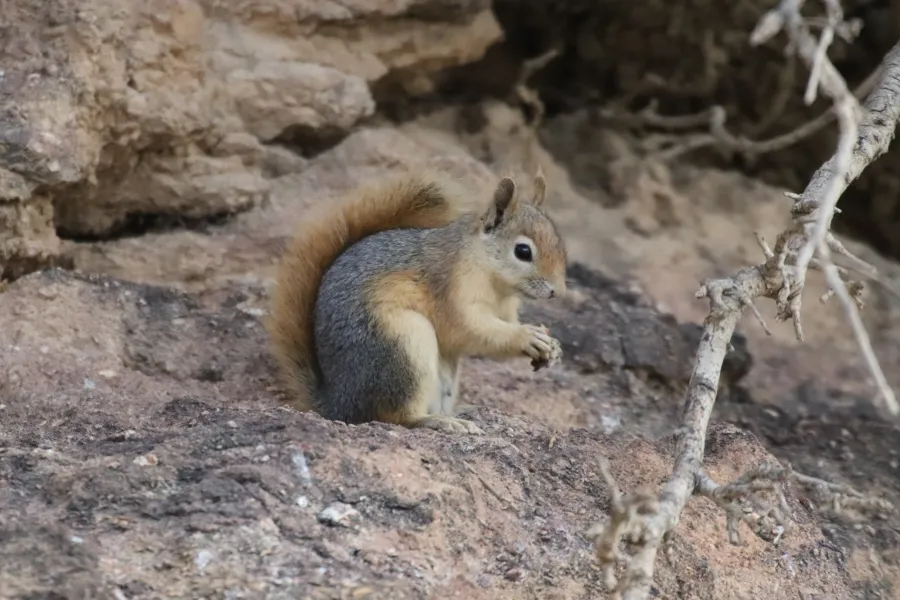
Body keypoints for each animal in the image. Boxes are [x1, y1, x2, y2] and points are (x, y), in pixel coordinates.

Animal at [266, 168, 567, 434]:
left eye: (560, 244)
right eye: (523, 251)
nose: (558, 292)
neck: (497, 283)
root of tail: (338, 404)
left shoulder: (506, 309)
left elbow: (505, 325)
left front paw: (551, 346)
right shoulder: (452, 290)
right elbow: (472, 330)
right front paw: (526, 337)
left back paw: (458, 411)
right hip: (405, 344)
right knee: (395, 416)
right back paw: (440, 422)